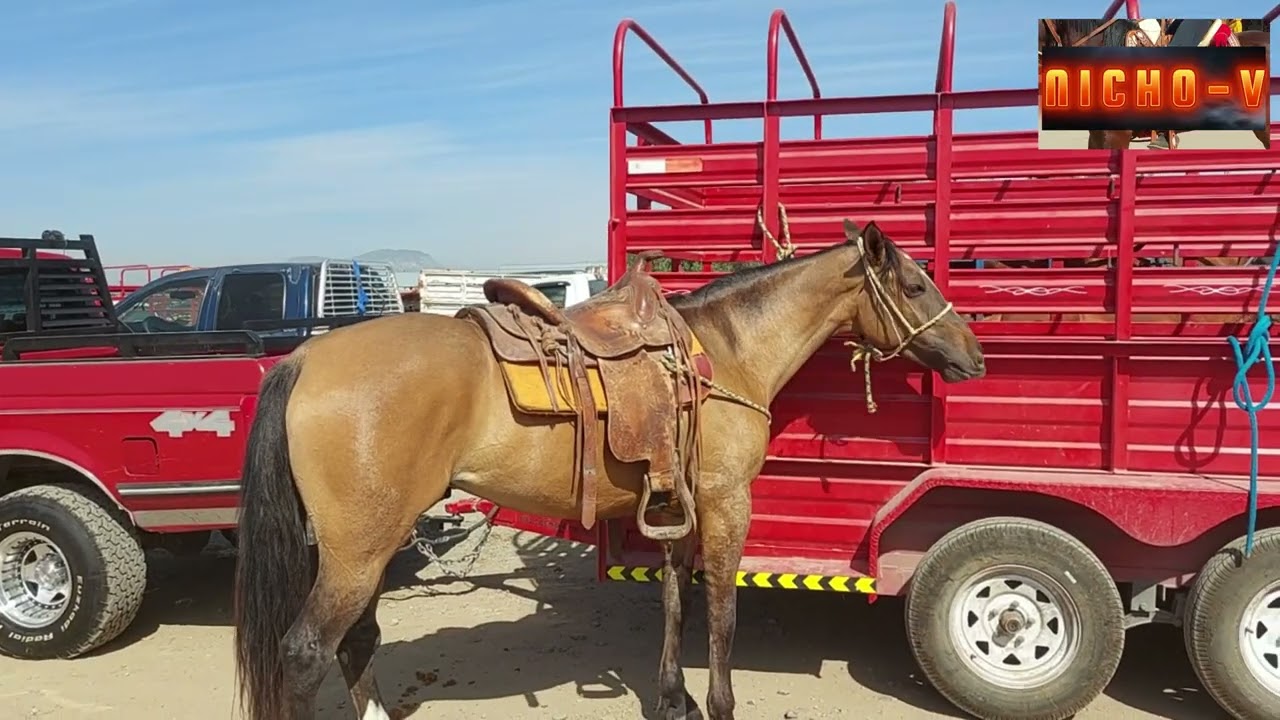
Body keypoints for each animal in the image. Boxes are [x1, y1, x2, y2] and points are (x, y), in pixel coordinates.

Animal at [230, 219, 986, 720]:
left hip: (365, 545)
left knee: (356, 639)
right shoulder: (725, 501)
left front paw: (673, 697)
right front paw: (718, 703)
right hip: (359, 547)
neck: (724, 353)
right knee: (306, 650)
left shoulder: (678, 503)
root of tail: (306, 359)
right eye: (916, 284)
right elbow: (722, 610)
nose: (974, 356)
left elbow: (677, 600)